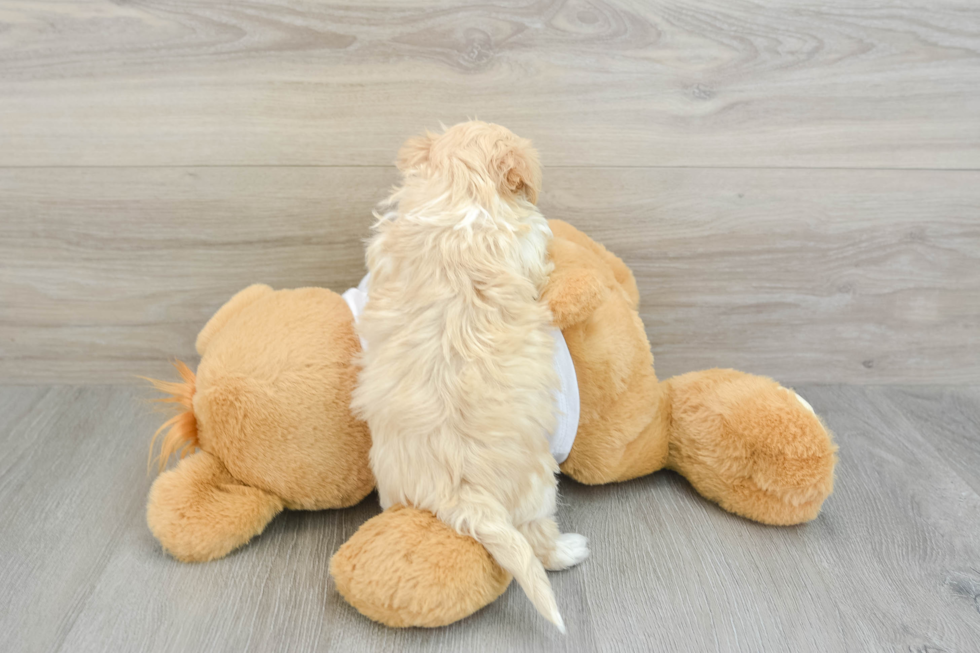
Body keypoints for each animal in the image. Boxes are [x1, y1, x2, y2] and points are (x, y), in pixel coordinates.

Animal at [356, 122, 592, 632]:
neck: (457, 191)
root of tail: (460, 499)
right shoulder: (525, 242)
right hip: (539, 486)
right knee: (538, 542)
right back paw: (570, 550)